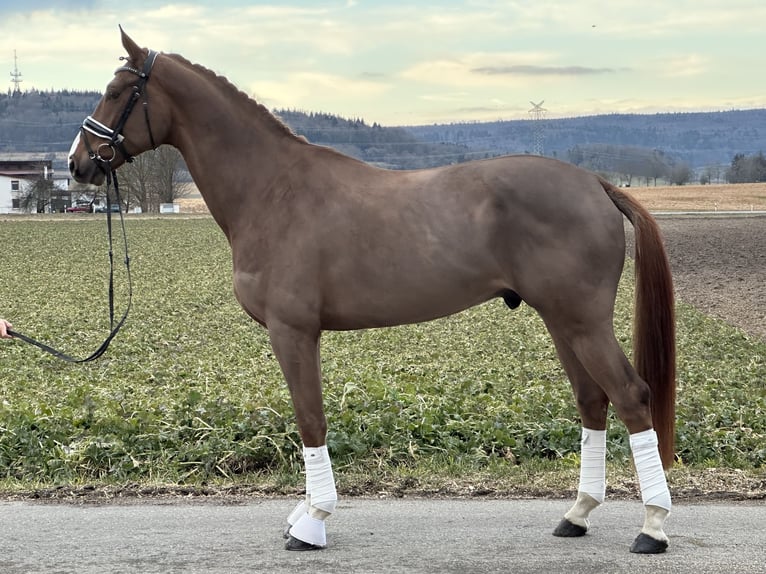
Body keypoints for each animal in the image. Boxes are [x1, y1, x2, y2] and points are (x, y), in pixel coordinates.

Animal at [69, 30, 676, 560]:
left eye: (118, 91)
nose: (78, 162)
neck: (272, 190)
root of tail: (595, 184)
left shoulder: (293, 331)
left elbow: (309, 420)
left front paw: (312, 522)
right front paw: (305, 512)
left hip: (583, 322)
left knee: (630, 396)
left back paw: (652, 526)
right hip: (560, 321)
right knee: (593, 401)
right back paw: (577, 514)